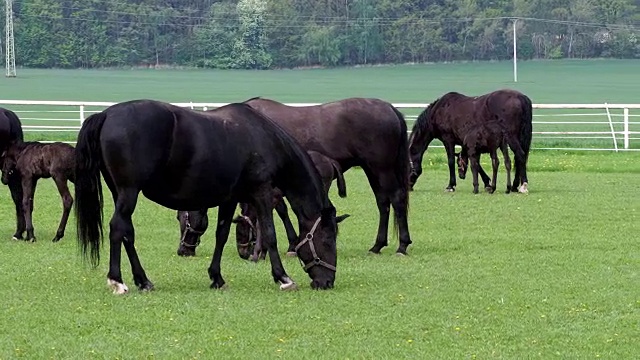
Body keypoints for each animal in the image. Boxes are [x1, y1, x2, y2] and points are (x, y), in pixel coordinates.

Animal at [75, 98, 340, 292]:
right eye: (328, 239)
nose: (326, 282)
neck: (261, 137)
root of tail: (107, 115)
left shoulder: (230, 199)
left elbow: (221, 235)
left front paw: (217, 278)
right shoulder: (262, 192)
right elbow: (270, 234)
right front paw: (283, 278)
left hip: (120, 193)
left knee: (127, 232)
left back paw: (143, 280)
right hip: (129, 192)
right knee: (118, 228)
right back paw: (118, 281)